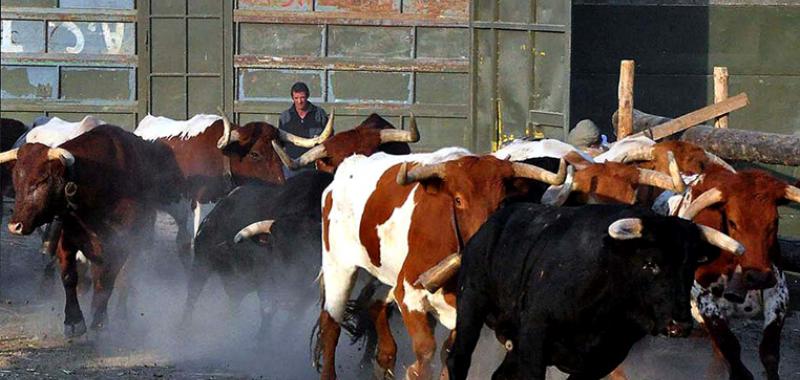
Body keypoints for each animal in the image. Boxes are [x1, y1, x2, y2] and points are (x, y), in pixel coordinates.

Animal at [316, 148, 564, 380]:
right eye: (458, 200)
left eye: (502, 202)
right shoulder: (408, 293)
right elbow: (426, 350)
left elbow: (448, 352)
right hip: (338, 265)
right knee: (331, 324)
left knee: (375, 305)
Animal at [446, 203, 720, 380]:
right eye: (650, 263)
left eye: (691, 267)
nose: (680, 324)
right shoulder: (535, 334)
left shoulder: (605, 358)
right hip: (471, 300)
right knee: (458, 359)